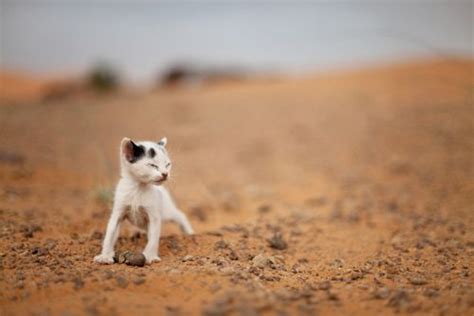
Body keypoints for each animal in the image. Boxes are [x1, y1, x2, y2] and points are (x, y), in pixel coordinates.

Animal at [93, 136, 193, 264]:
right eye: (153, 165)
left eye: (167, 164)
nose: (165, 174)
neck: (138, 188)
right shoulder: (117, 213)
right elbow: (110, 234)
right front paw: (105, 256)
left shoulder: (154, 216)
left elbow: (154, 238)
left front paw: (150, 256)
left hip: (167, 211)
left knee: (180, 215)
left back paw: (189, 232)